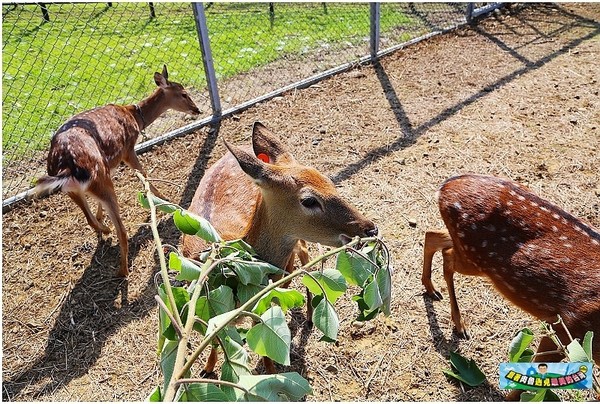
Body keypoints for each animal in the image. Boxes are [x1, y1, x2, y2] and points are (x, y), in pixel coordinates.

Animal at [34, 64, 200, 278]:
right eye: (184, 94)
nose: (197, 109)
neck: (135, 117)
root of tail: (67, 165)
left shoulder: (111, 163)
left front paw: (101, 217)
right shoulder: (127, 150)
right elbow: (144, 173)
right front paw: (164, 199)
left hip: (73, 187)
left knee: (90, 219)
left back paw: (104, 230)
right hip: (98, 176)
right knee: (121, 229)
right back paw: (122, 270)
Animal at [184, 121, 380, 374]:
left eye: (330, 182)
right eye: (309, 200)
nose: (370, 229)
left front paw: (270, 374)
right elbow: (216, 338)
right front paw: (208, 368)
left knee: (304, 259)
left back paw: (309, 314)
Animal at [422, 172, 600, 368]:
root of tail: (445, 186)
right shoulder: (567, 324)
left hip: (466, 248)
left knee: (434, 237)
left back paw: (433, 292)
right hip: (473, 256)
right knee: (445, 255)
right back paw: (458, 323)